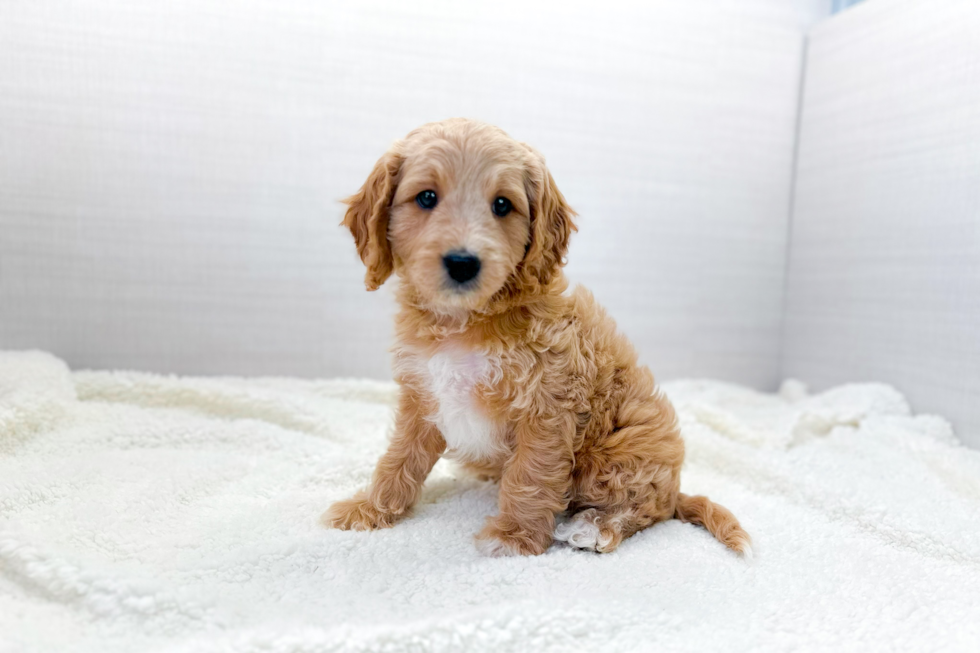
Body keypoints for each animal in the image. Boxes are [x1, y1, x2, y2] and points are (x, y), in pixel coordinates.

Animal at [324, 118, 752, 556]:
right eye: (426, 197)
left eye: (502, 205)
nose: (463, 263)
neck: (464, 322)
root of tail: (675, 486)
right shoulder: (423, 394)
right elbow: (400, 458)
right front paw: (370, 510)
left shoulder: (547, 405)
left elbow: (530, 474)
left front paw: (514, 536)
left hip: (622, 454)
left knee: (646, 507)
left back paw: (595, 527)